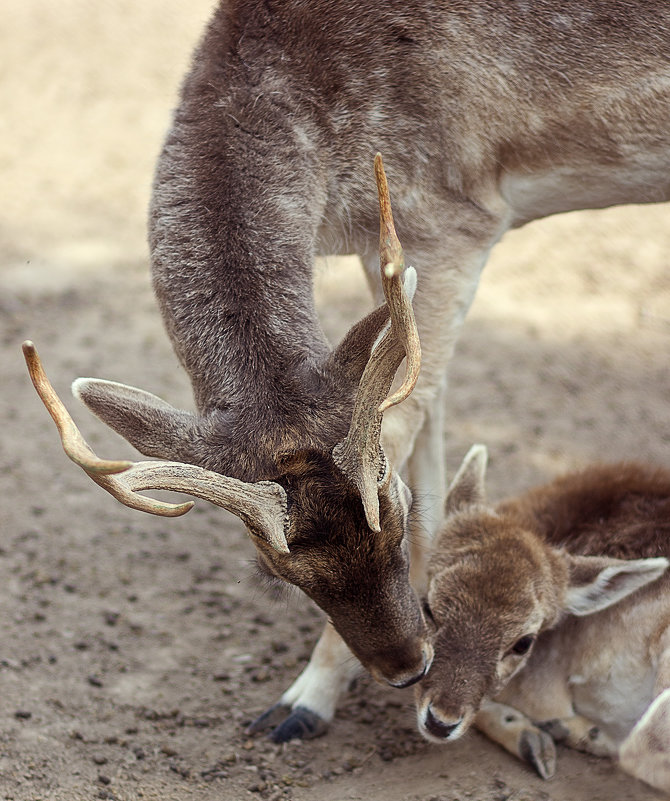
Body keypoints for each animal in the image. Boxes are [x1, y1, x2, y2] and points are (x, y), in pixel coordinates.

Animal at [26, 0, 670, 736]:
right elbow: (428, 409)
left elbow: (408, 418)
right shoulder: (384, 247)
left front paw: (304, 699)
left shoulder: (453, 218)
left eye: (394, 511)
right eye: (276, 568)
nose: (406, 666)